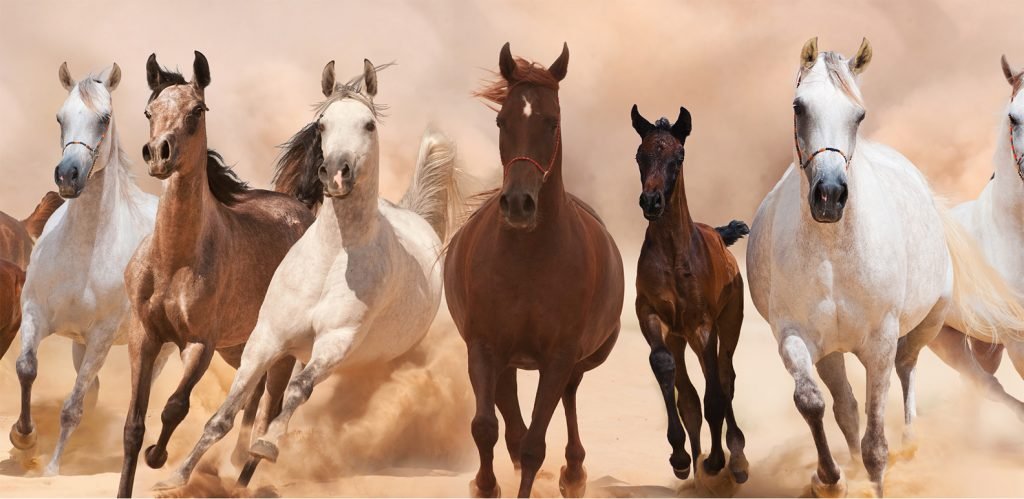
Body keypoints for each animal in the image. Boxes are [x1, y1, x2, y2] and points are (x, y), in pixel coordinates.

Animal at [9, 62, 160, 478]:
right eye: (60, 117)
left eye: (104, 118)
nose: (68, 175)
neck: (83, 253)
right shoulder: (35, 313)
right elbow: (27, 368)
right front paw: (24, 438)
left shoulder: (101, 339)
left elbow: (72, 407)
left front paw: (51, 469)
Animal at [117, 51, 313, 498]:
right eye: (149, 111)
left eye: (197, 111)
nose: (158, 153)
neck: (174, 261)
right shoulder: (143, 335)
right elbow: (133, 426)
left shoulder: (199, 344)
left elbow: (174, 407)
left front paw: (159, 458)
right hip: (239, 347)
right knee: (253, 397)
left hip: (280, 350)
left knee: (270, 409)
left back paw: (241, 480)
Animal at [153, 58, 464, 491]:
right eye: (322, 124)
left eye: (369, 124)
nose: (335, 173)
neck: (333, 259)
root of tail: (415, 215)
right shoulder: (267, 338)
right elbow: (225, 413)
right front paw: (175, 475)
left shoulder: (335, 342)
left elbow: (294, 395)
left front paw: (264, 447)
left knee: (292, 397)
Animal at [444, 43, 624, 498]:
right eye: (501, 120)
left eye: (551, 122)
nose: (518, 203)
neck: (528, 260)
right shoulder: (484, 346)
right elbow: (486, 427)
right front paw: (484, 486)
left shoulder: (559, 356)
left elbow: (533, 446)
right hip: (507, 361)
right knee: (509, 414)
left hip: (577, 361)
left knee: (569, 397)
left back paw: (574, 473)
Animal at [630, 104, 750, 491]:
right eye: (640, 155)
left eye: (678, 156)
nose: (651, 201)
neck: (673, 256)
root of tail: (719, 234)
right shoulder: (650, 314)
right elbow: (668, 373)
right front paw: (682, 457)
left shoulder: (703, 326)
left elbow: (715, 395)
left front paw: (716, 461)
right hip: (679, 337)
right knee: (689, 394)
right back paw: (696, 466)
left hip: (727, 325)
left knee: (724, 377)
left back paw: (735, 460)